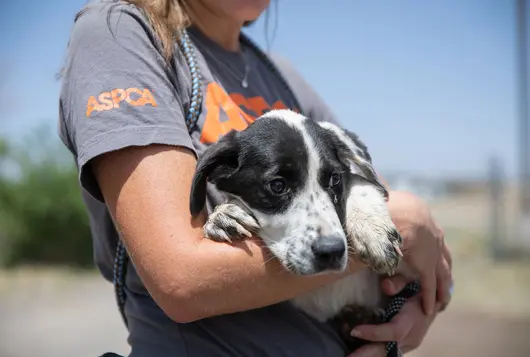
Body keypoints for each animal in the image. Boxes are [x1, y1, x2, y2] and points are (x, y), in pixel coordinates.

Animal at [190, 109, 404, 350]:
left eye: (334, 179)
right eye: (277, 185)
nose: (332, 251)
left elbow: (358, 180)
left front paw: (373, 230)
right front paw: (223, 215)